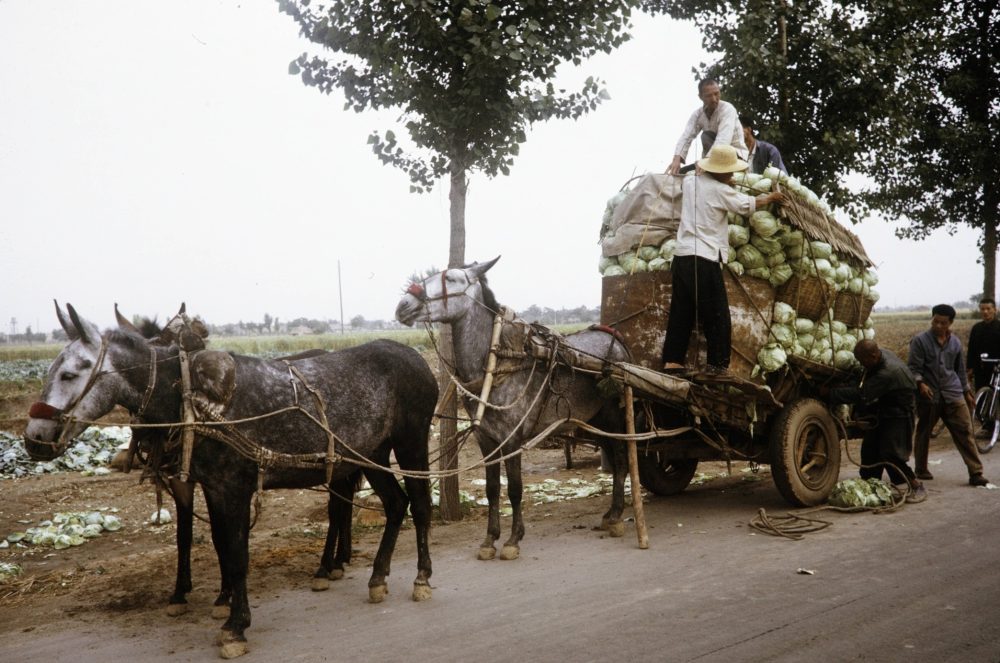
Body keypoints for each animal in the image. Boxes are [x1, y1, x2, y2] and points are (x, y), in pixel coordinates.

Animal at [23, 304, 436, 660]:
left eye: (70, 374)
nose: (34, 438)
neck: (192, 401)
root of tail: (415, 357)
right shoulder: (211, 487)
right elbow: (218, 545)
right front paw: (219, 605)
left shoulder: (233, 489)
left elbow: (237, 557)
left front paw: (236, 626)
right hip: (371, 455)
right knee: (395, 505)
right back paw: (377, 578)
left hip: (410, 444)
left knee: (418, 505)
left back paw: (421, 578)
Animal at [394, 256, 628, 564]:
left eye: (453, 279)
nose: (404, 305)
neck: (497, 362)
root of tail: (618, 342)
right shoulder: (486, 439)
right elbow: (493, 490)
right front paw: (489, 539)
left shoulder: (512, 438)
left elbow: (515, 490)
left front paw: (513, 539)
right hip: (594, 419)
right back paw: (610, 513)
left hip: (614, 416)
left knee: (623, 460)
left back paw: (618, 517)